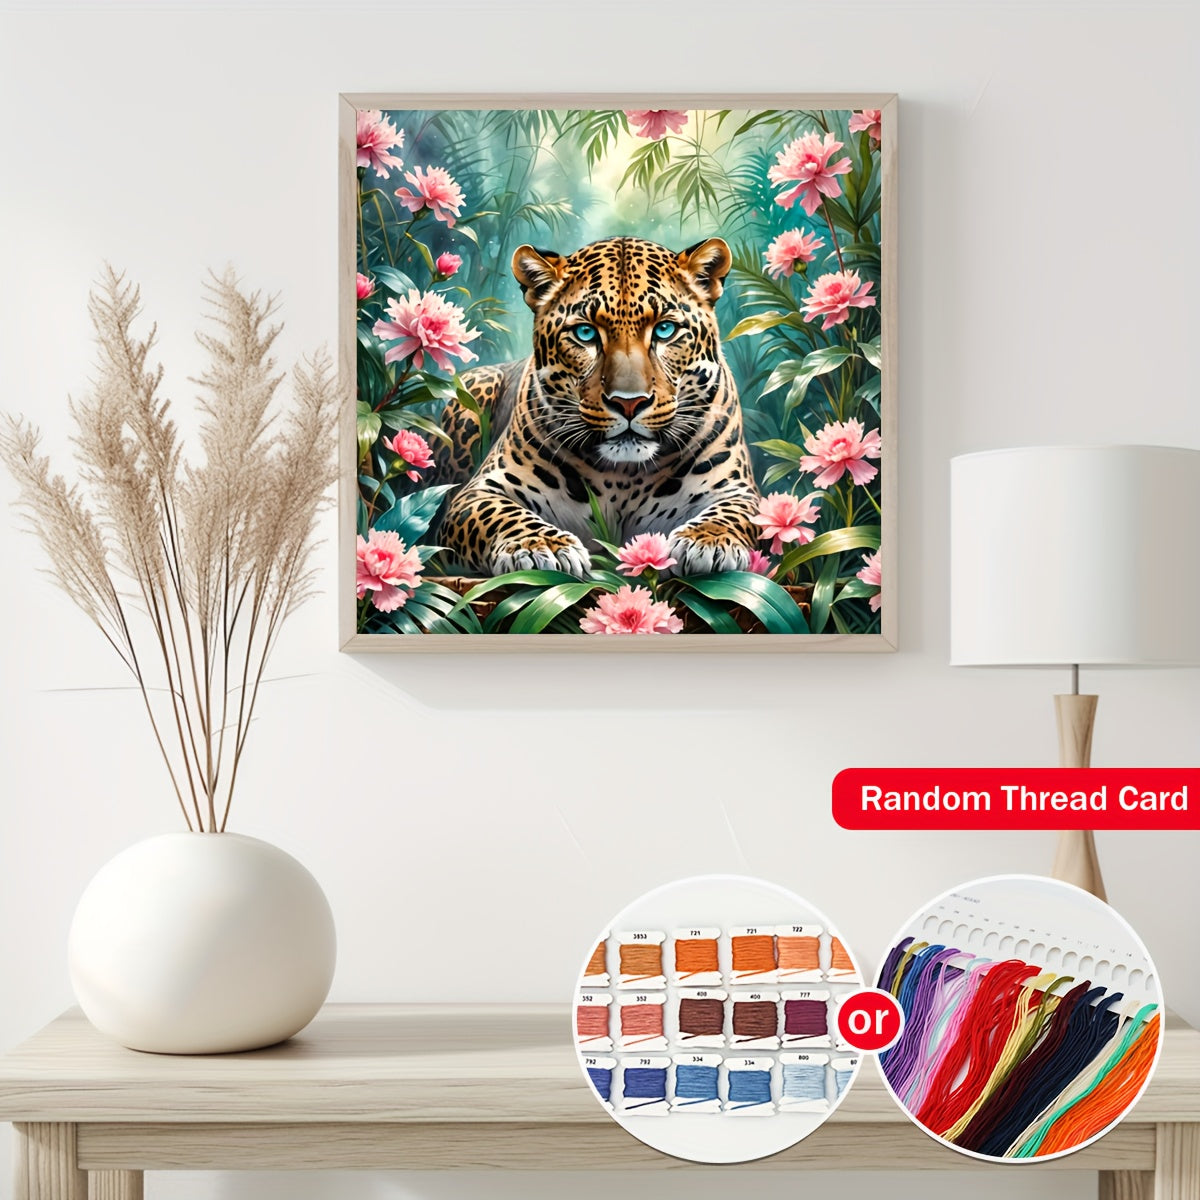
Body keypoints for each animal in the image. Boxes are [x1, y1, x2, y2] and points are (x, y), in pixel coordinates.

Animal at [436, 235, 761, 579]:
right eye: (585, 332)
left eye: (665, 330)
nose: (629, 403)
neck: (623, 475)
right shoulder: (479, 491)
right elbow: (500, 514)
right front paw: (540, 545)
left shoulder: (736, 489)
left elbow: (733, 514)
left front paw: (708, 541)